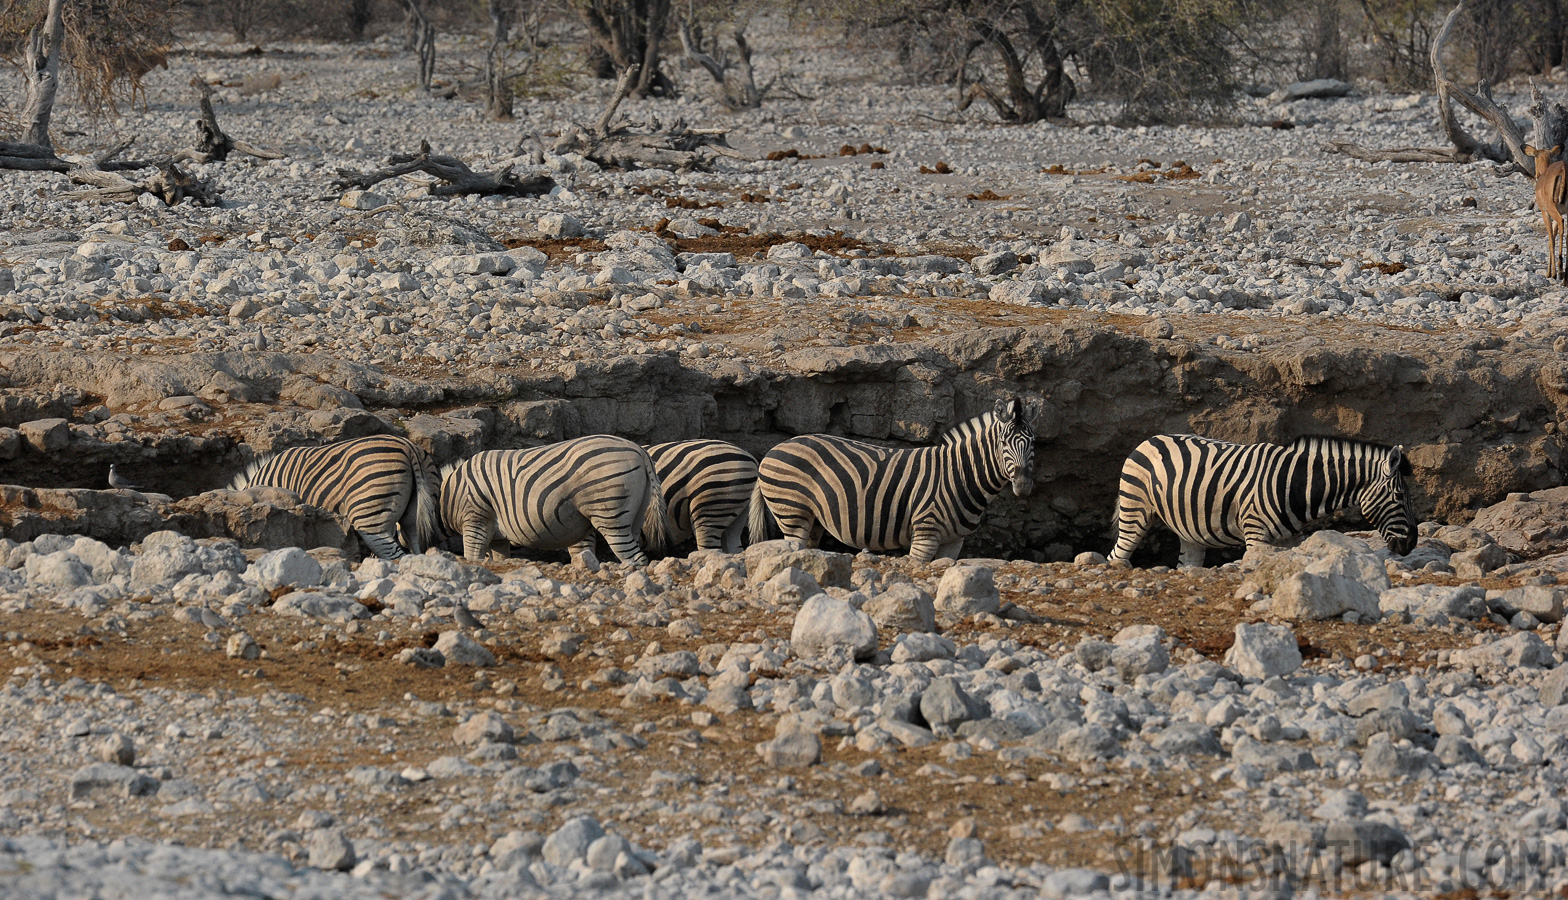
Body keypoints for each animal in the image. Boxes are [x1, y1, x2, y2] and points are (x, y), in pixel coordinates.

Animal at [439, 435, 671, 567]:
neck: (447, 497)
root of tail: (640, 451)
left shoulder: (475, 520)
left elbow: (472, 557)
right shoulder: (497, 538)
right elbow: (500, 558)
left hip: (610, 510)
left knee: (633, 557)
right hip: (636, 515)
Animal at [752, 396, 1034, 564]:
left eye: (1033, 443)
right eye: (1003, 443)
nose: (1023, 487)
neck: (960, 475)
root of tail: (775, 448)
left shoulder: (954, 541)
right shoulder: (925, 534)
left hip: (813, 518)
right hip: (791, 511)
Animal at [1103, 432, 1423, 567]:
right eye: (1398, 496)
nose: (1411, 544)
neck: (1297, 484)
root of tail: (1150, 439)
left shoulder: (1289, 540)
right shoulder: (1256, 534)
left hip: (1190, 531)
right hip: (1135, 510)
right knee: (1117, 557)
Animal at [1524, 143, 1561, 282]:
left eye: (1534, 156)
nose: (1535, 175)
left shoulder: (1545, 213)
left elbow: (1551, 240)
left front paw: (1550, 273)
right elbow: (1553, 238)